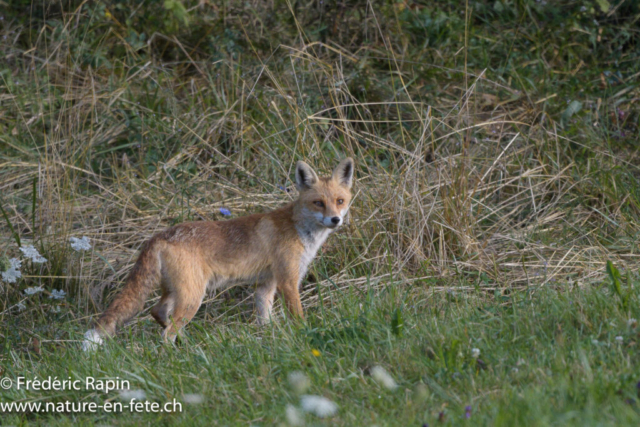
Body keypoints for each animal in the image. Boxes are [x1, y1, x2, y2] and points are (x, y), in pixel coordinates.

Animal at [83, 158, 354, 351]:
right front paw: (303, 335)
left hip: (177, 292)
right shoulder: (288, 280)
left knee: (157, 312)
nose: (335, 220)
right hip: (193, 295)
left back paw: (187, 346)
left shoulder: (266, 284)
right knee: (166, 333)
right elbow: (298, 316)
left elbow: (264, 319)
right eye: (319, 203)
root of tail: (159, 235)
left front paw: (269, 340)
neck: (299, 229)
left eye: (340, 201)